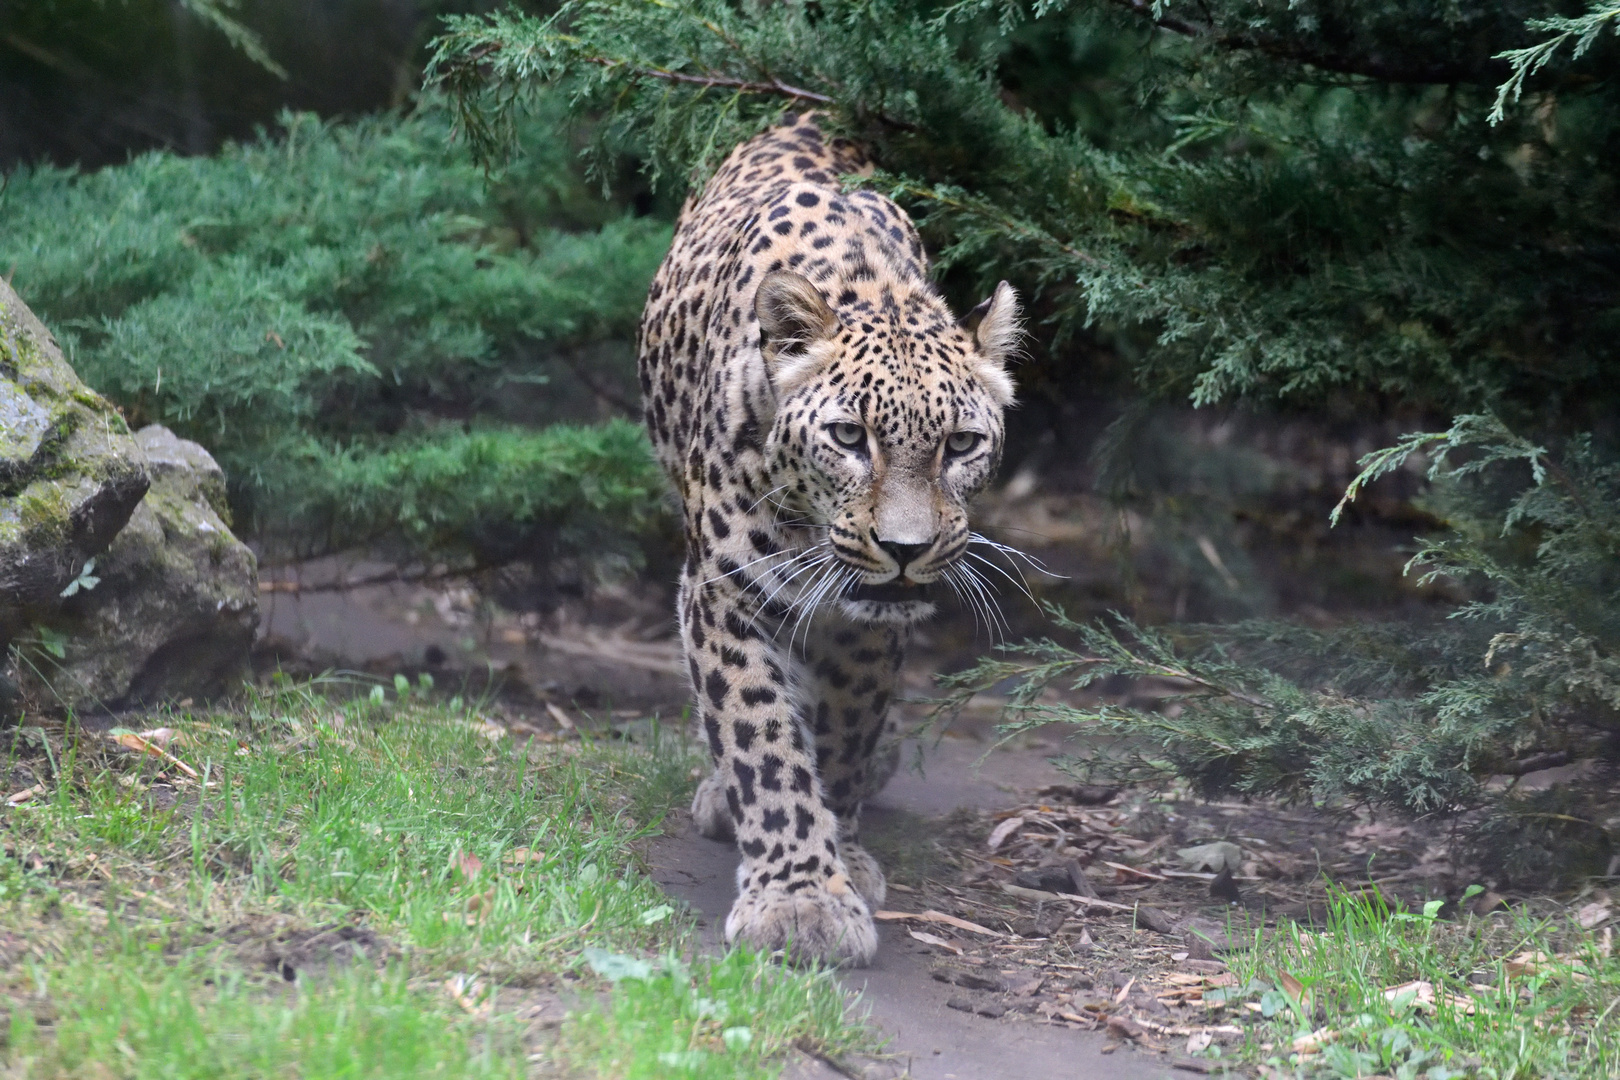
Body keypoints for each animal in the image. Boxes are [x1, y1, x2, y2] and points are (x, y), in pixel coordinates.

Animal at [638, 114, 1017, 965]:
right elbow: (760, 736)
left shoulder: (871, 628)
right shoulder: (723, 593)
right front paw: (799, 896)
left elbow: (844, 730)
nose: (906, 549)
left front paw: (839, 850)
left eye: (961, 445)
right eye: (849, 437)